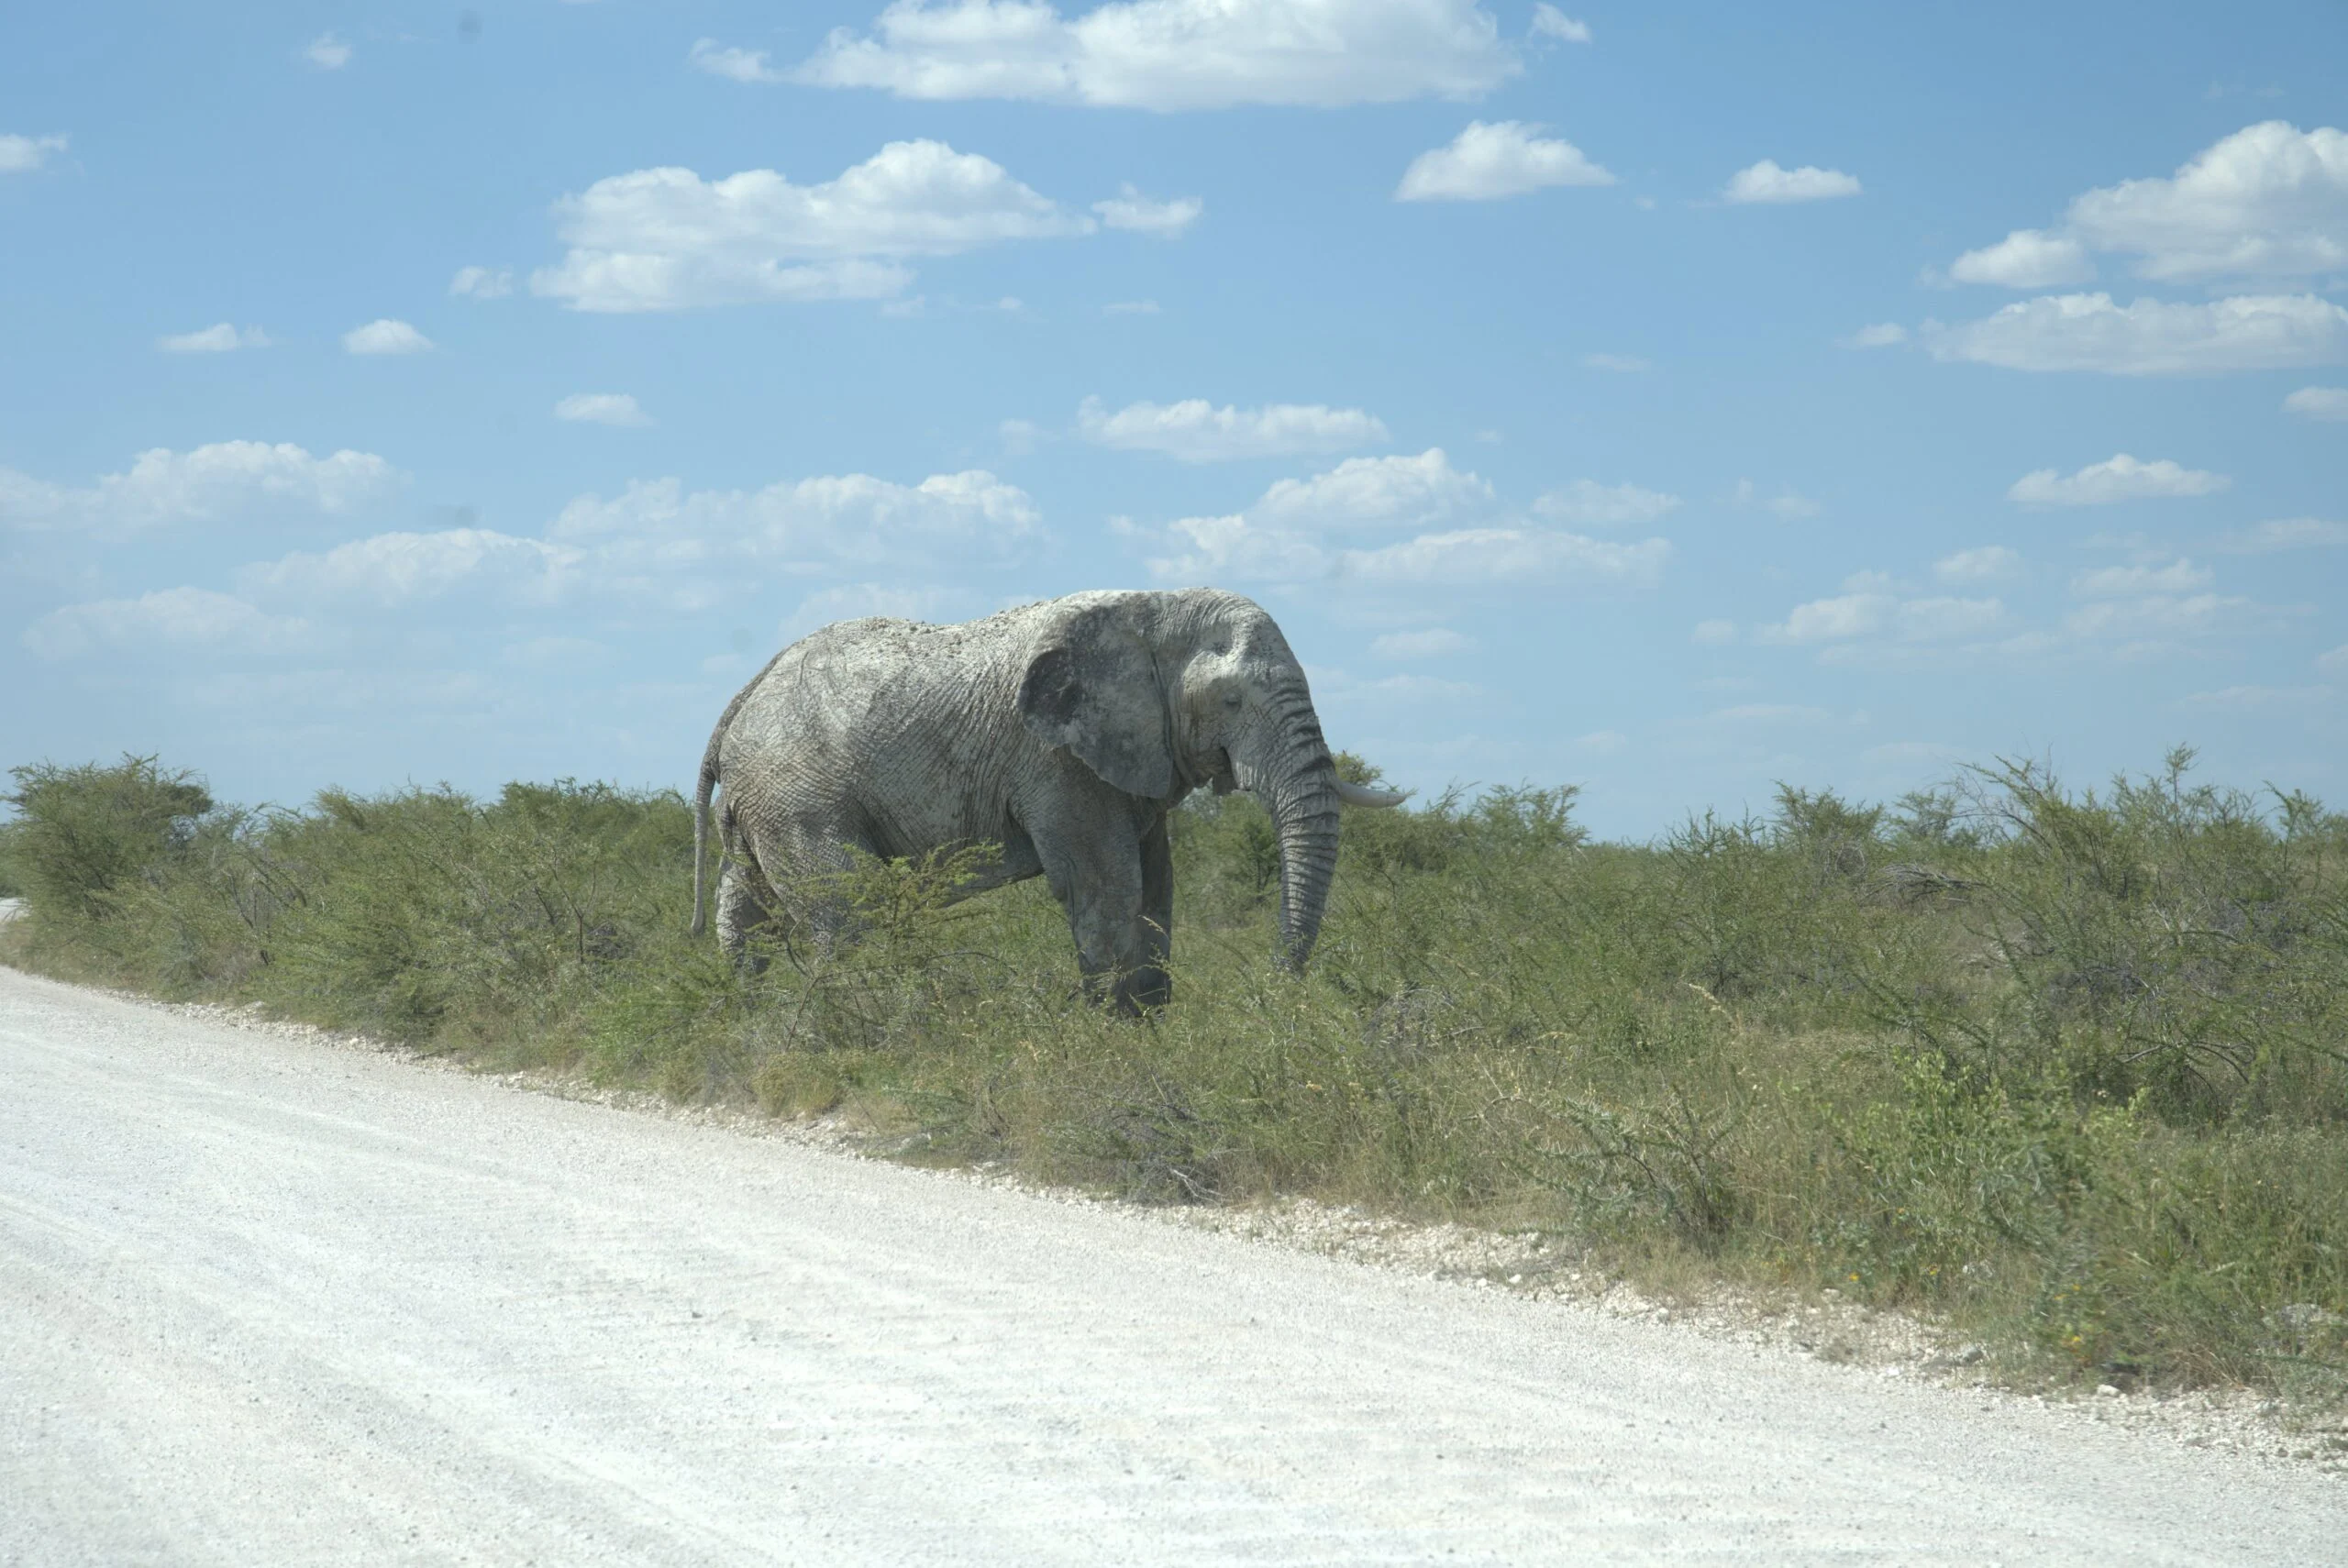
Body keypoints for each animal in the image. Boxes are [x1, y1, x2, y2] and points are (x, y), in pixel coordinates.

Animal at [688, 587, 1405, 1011]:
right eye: (1231, 701)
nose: (1274, 992)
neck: (1153, 611)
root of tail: (745, 695)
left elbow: (1155, 887)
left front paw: (1152, 1030)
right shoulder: (1056, 761)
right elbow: (1106, 887)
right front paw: (1116, 1039)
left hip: (765, 802)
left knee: (745, 908)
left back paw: (744, 1018)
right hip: (799, 797)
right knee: (846, 914)